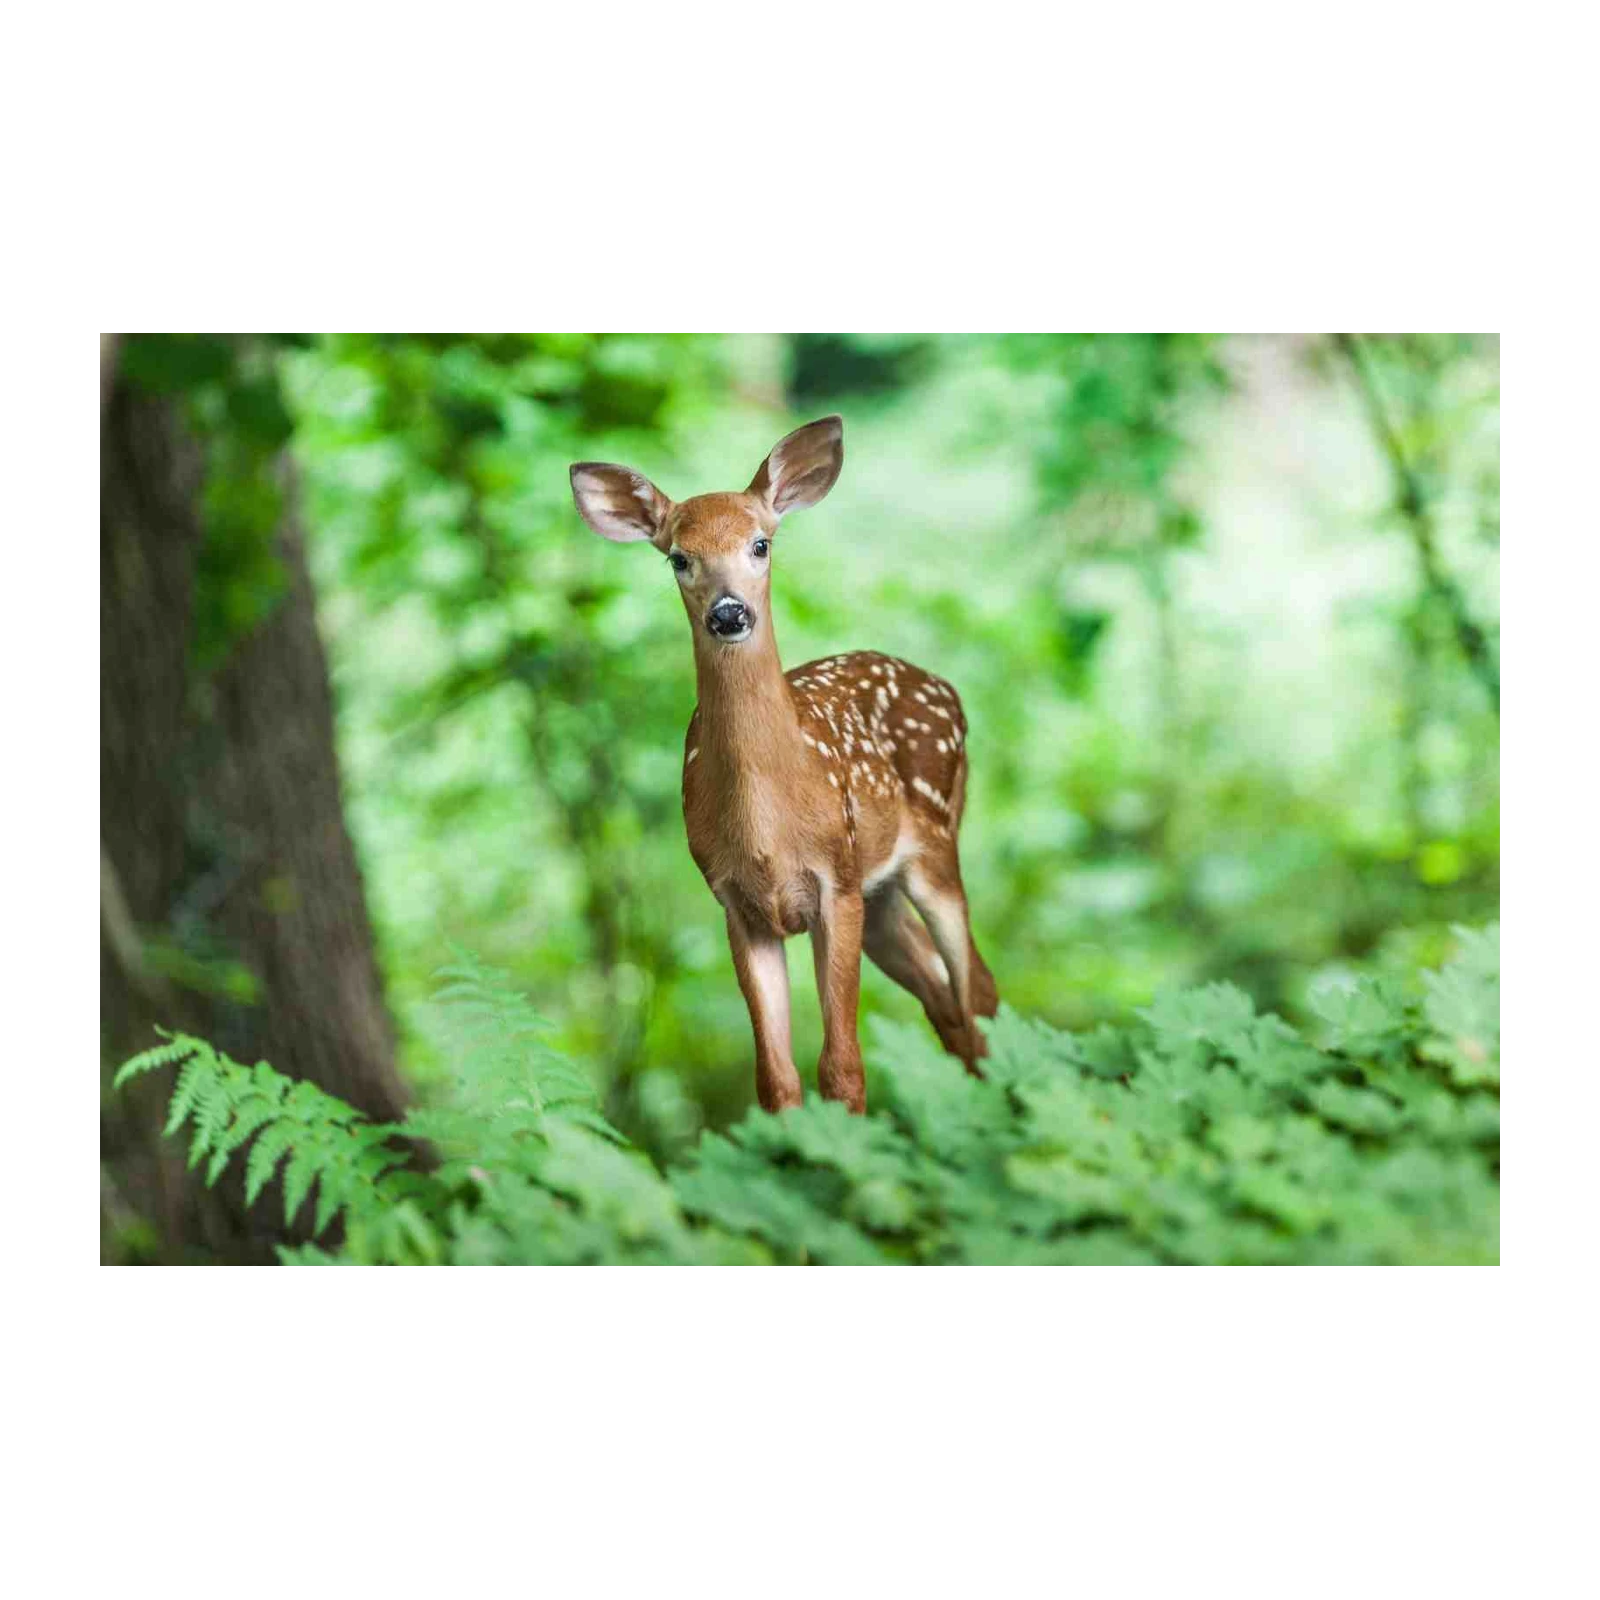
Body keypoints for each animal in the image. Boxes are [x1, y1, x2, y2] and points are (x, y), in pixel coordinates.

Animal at [569, 414, 998, 1116]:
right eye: (678, 557)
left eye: (761, 544)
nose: (728, 612)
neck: (768, 825)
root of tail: (948, 689)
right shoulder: (737, 904)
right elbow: (775, 1078)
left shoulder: (835, 882)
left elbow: (843, 1067)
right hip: (881, 895)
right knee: (945, 999)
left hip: (933, 844)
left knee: (977, 989)